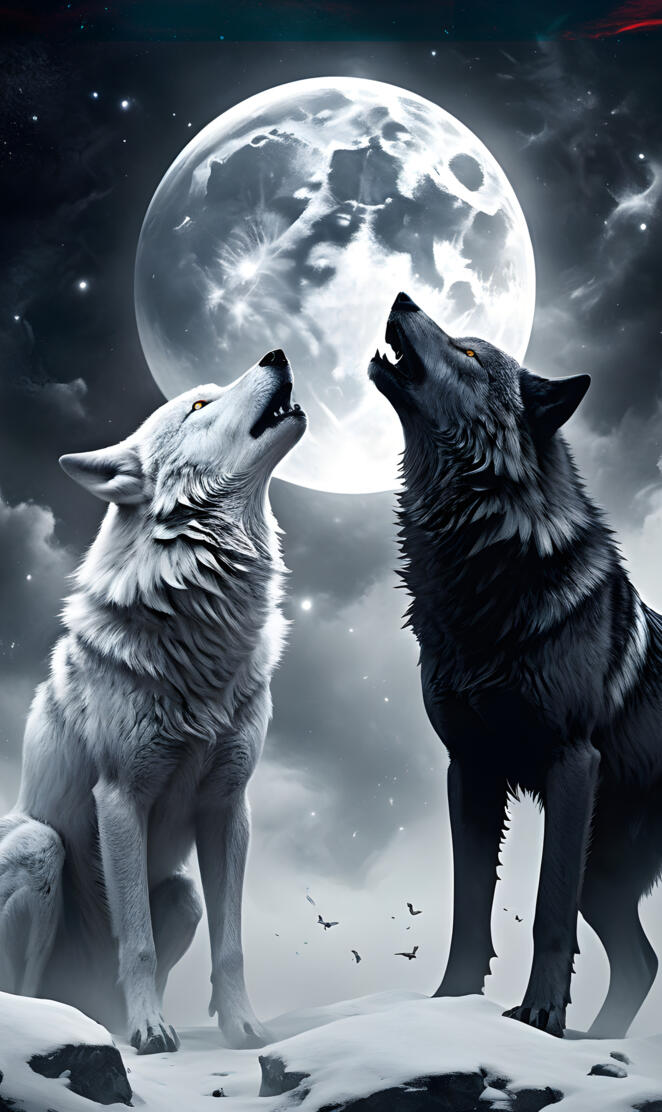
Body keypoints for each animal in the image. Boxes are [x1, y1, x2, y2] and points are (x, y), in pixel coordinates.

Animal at [0, 349, 306, 1054]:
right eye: (197, 403)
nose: (277, 354)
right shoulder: (120, 797)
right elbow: (134, 940)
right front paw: (149, 1031)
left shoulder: (229, 804)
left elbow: (231, 946)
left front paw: (244, 1027)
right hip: (35, 846)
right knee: (26, 989)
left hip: (183, 893)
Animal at [369, 292, 662, 1038]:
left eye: (471, 352)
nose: (401, 296)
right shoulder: (470, 767)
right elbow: (469, 906)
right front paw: (451, 1002)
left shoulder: (572, 760)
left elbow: (547, 910)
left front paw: (538, 1016)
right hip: (607, 876)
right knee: (643, 960)